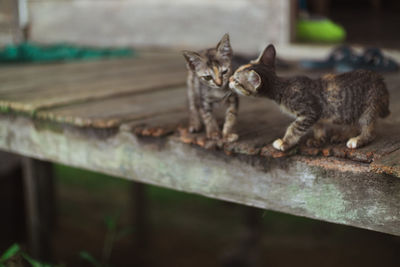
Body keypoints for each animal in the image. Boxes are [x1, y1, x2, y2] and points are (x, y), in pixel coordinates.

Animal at [230, 45, 390, 152]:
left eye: (237, 81)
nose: (230, 78)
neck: (282, 88)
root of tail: (380, 79)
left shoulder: (310, 111)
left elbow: (294, 127)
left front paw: (284, 142)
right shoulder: (317, 113)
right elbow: (318, 125)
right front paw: (319, 139)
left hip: (369, 106)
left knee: (369, 130)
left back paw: (359, 139)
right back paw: (343, 135)